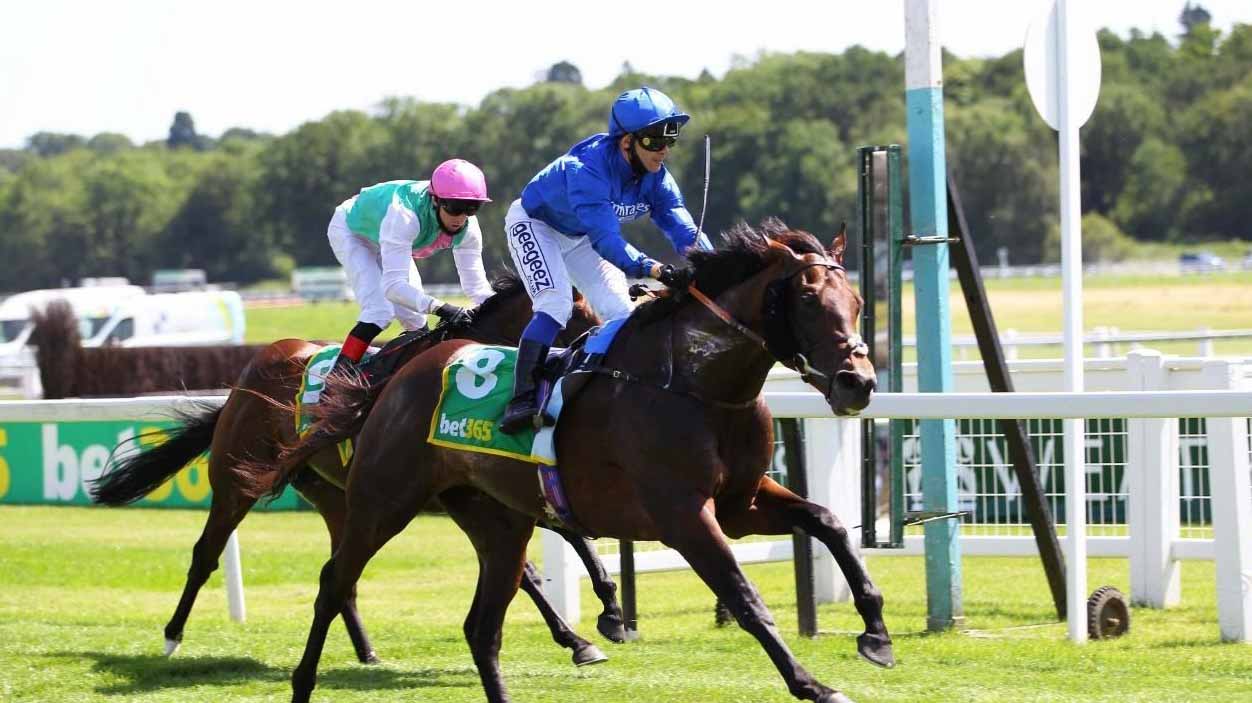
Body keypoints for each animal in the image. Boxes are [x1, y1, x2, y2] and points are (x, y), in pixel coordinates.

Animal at [88, 273, 617, 667]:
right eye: (581, 320)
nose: (589, 362)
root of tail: (250, 373)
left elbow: (554, 544)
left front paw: (598, 619)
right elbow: (531, 564)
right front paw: (588, 627)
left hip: (335, 497)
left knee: (341, 574)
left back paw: (366, 650)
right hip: (236, 481)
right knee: (206, 553)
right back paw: (171, 636)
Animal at [260, 220, 891, 703]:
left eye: (859, 302)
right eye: (807, 301)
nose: (857, 382)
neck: (695, 384)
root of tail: (396, 378)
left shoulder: (742, 502)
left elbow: (829, 524)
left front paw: (875, 633)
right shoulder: (684, 516)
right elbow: (745, 597)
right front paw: (813, 684)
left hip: (497, 521)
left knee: (482, 626)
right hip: (382, 501)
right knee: (334, 581)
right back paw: (303, 682)